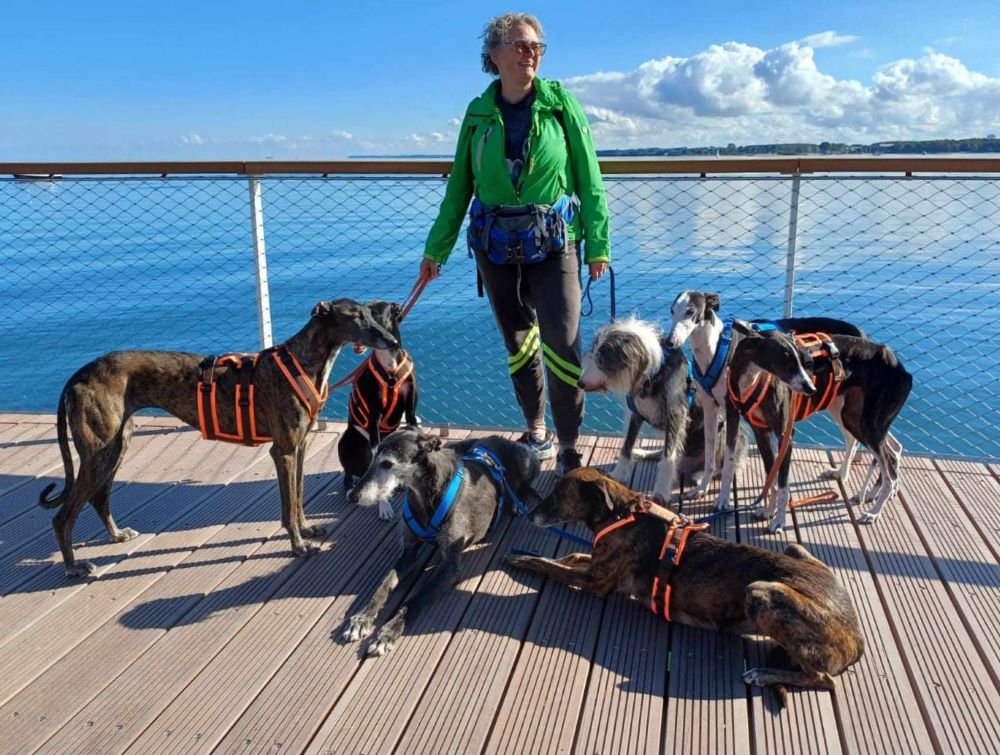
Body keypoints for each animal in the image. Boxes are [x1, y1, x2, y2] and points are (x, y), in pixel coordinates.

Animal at [39, 298, 398, 576]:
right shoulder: (283, 451)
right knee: (63, 516)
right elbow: (287, 506)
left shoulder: (299, 446)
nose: (393, 343)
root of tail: (80, 374)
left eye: (370, 313)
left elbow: (297, 498)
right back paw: (74, 567)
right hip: (99, 453)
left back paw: (115, 535)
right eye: (356, 317)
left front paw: (307, 529)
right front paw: (298, 545)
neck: (302, 360)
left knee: (99, 498)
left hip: (116, 445)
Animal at [348, 428, 544, 660]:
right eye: (372, 459)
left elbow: (415, 599)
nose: (352, 496)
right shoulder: (408, 553)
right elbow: (384, 584)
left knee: (528, 487)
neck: (427, 495)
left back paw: (516, 504)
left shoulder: (450, 567)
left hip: (528, 462)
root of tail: (503, 439)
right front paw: (362, 618)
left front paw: (388, 632)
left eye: (387, 463)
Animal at [512, 470, 864, 704]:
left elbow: (550, 565)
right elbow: (570, 555)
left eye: (559, 494)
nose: (528, 514)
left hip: (761, 591)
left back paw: (762, 674)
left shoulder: (596, 581)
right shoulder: (597, 565)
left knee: (825, 679)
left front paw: (520, 558)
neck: (621, 513)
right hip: (793, 549)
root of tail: (858, 637)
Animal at [576, 316, 748, 504]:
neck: (652, 375)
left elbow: (668, 457)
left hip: (723, 426)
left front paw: (661, 491)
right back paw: (645, 453)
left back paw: (701, 474)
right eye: (593, 355)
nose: (580, 383)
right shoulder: (635, 414)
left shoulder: (676, 415)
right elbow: (627, 446)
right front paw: (619, 474)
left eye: (601, 360)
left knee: (719, 464)